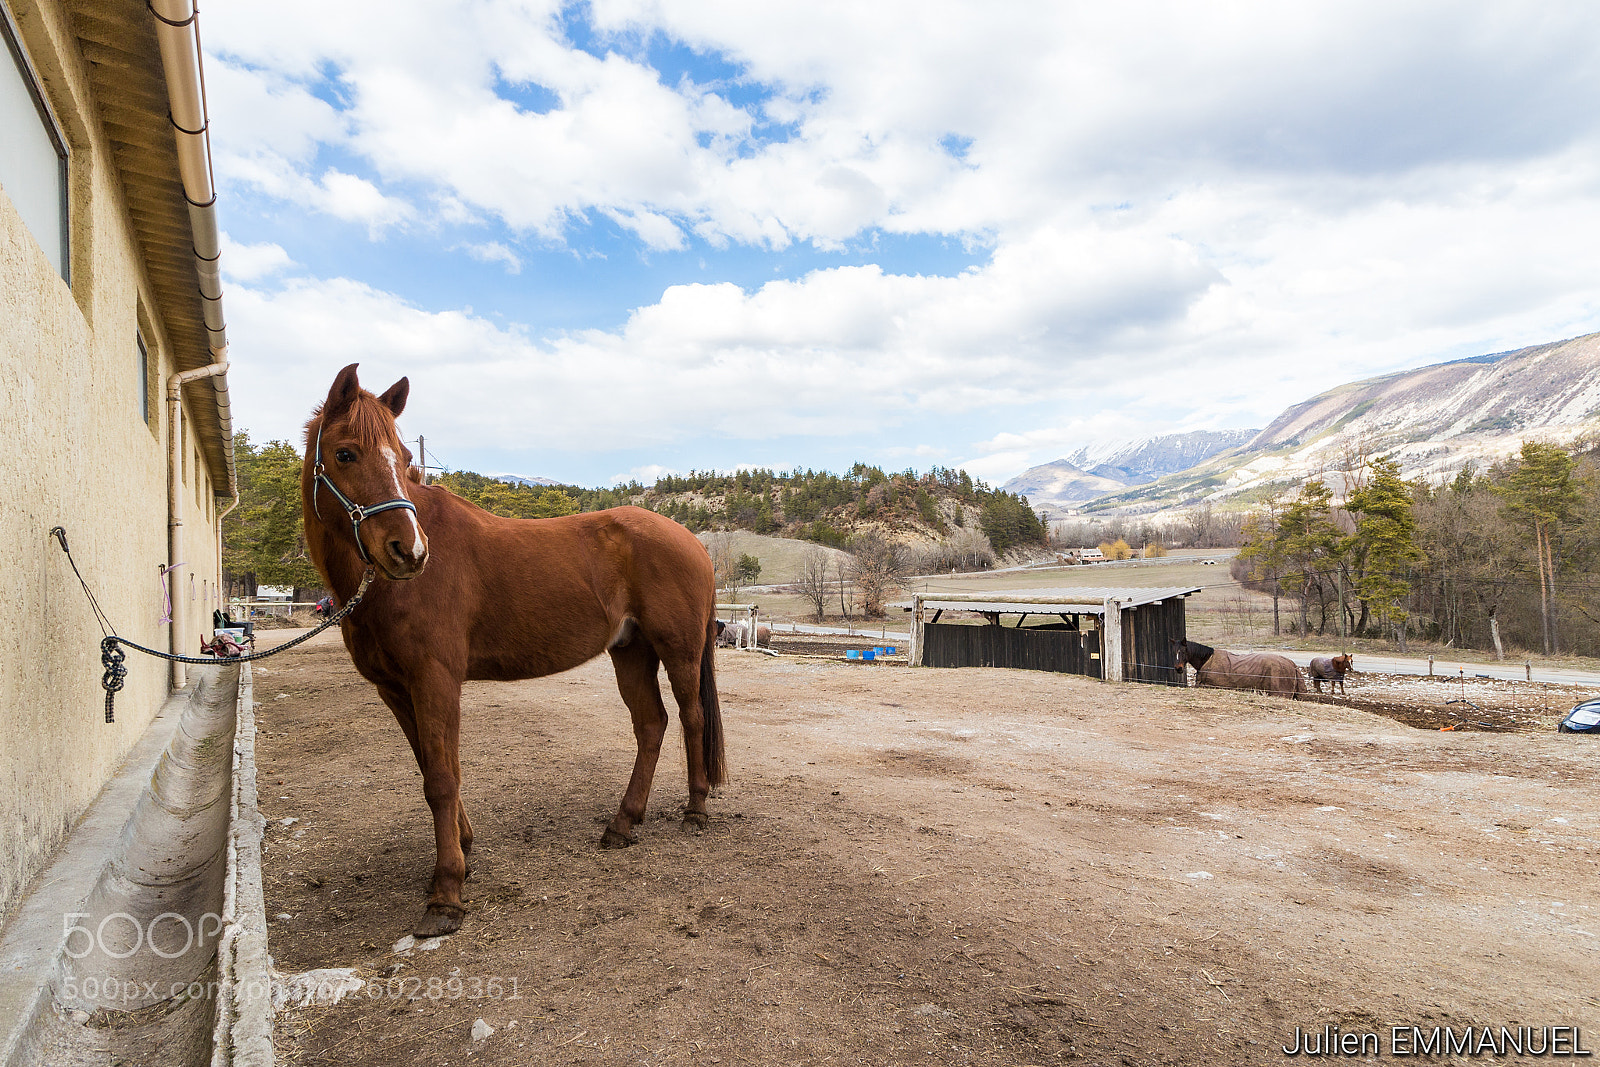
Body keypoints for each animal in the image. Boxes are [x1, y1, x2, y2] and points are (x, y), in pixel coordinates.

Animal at [300, 364, 725, 937]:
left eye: (406, 459)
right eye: (344, 453)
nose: (409, 551)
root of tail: (691, 540)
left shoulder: (435, 680)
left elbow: (441, 779)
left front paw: (446, 895)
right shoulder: (396, 690)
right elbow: (433, 770)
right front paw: (463, 849)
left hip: (679, 650)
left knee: (691, 717)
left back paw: (695, 810)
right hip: (631, 652)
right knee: (652, 725)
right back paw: (623, 823)